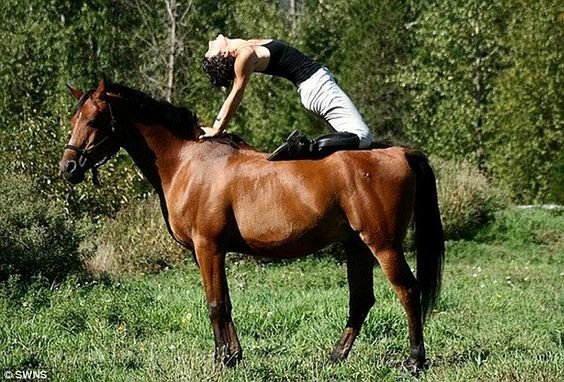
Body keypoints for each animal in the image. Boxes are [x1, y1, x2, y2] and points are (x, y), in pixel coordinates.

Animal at [59, 77, 442, 374]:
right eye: (73, 118)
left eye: (94, 120)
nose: (68, 167)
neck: (187, 161)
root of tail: (399, 153)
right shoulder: (209, 252)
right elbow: (224, 302)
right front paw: (233, 357)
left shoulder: (208, 246)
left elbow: (215, 304)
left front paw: (221, 360)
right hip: (357, 246)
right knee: (361, 300)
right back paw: (335, 357)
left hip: (383, 245)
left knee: (408, 291)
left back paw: (415, 361)